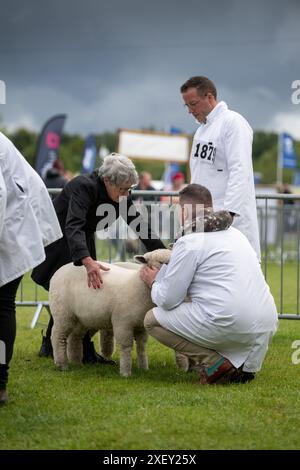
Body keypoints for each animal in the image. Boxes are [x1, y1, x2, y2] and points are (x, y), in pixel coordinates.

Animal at [49, 248, 171, 376]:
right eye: (160, 262)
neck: (138, 286)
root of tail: (61, 269)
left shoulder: (141, 325)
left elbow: (141, 346)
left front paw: (144, 368)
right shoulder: (122, 322)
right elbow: (126, 346)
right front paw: (125, 372)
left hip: (81, 318)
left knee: (75, 337)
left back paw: (76, 363)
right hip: (63, 312)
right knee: (58, 335)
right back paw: (62, 365)